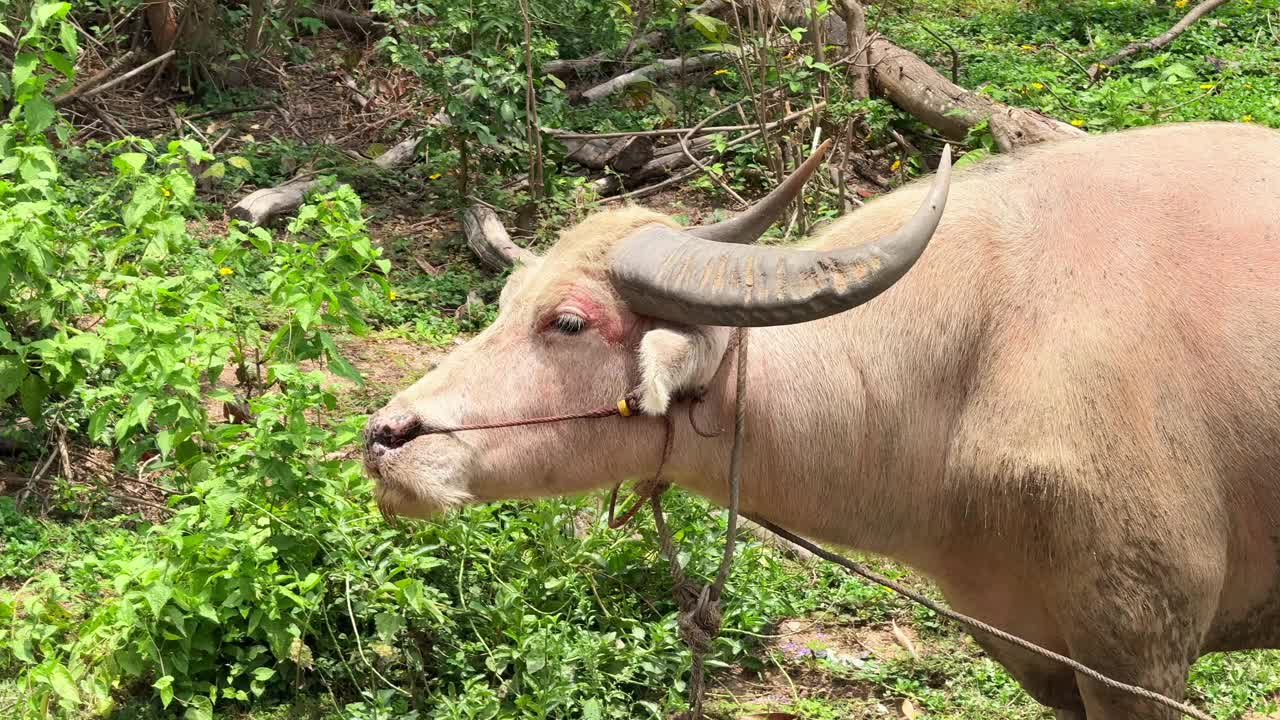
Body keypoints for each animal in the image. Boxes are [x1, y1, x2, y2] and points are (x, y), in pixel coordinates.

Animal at [363, 120, 1280, 712]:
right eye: (506, 301)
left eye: (569, 322)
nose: (386, 439)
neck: (971, 364)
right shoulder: (1040, 652)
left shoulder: (1142, 653)